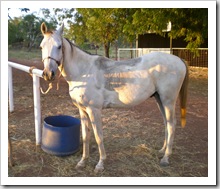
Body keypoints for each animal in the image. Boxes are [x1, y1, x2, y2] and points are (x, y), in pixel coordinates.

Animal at [40, 22, 188, 173]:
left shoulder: (94, 110)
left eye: (59, 46)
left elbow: (98, 136)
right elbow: (86, 136)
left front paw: (100, 164)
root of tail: (179, 60)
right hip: (159, 99)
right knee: (166, 123)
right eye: (41, 46)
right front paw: (82, 161)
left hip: (168, 101)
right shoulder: (82, 110)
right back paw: (162, 151)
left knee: (171, 124)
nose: (48, 74)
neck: (84, 72)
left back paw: (166, 158)